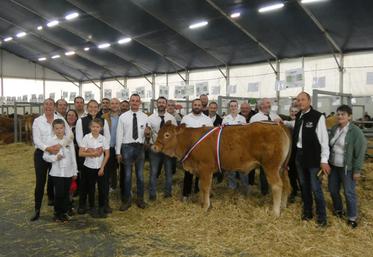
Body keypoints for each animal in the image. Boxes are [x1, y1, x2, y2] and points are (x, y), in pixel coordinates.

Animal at [151, 121, 290, 216]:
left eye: (167, 135)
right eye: (159, 132)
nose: (154, 147)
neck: (190, 141)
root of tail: (277, 125)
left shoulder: (205, 168)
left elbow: (205, 187)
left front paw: (205, 206)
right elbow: (202, 187)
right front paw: (203, 202)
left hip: (271, 167)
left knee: (277, 186)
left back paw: (275, 211)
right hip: (282, 168)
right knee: (286, 185)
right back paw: (283, 206)